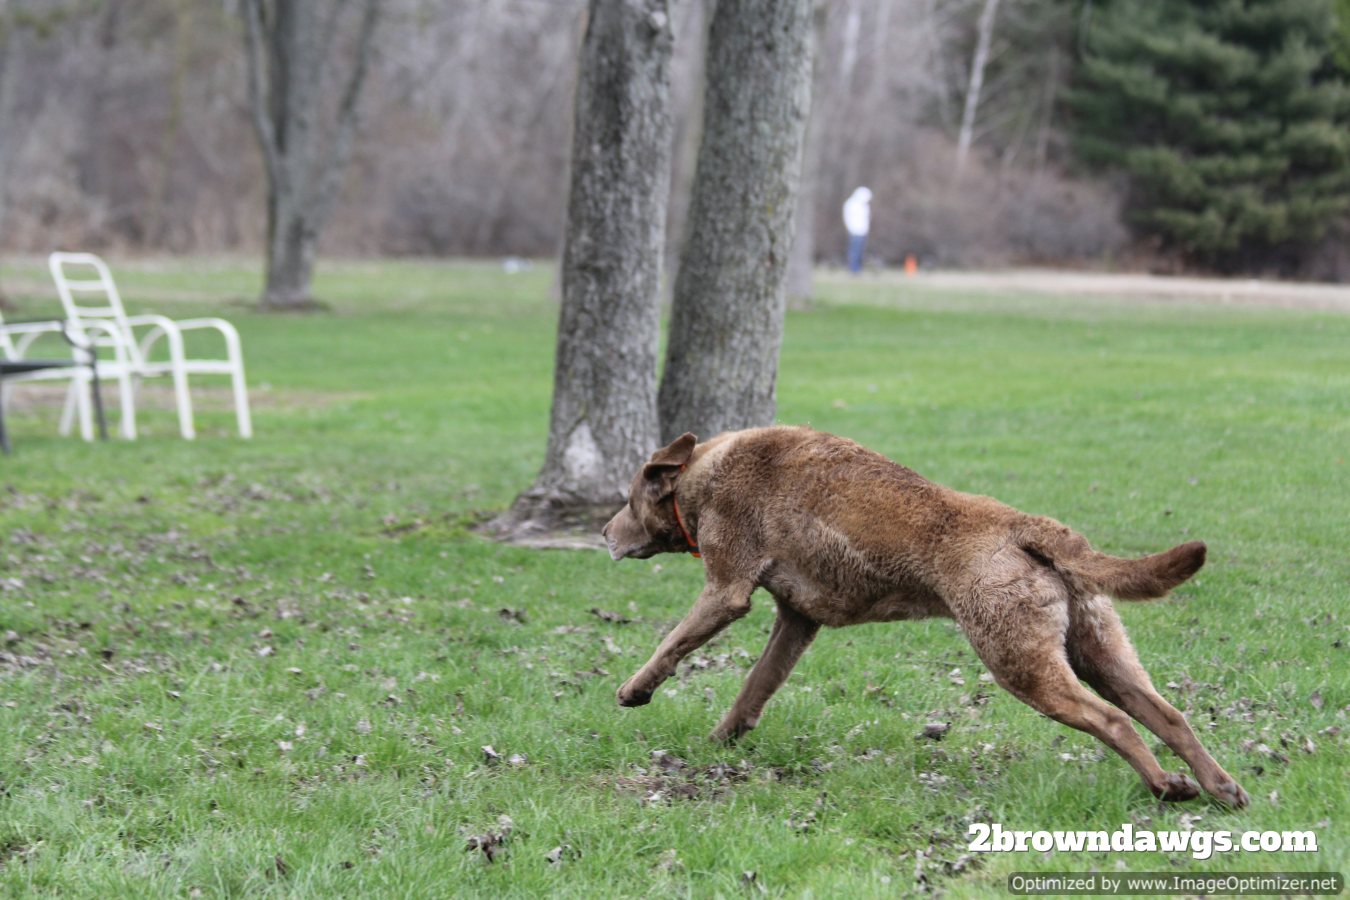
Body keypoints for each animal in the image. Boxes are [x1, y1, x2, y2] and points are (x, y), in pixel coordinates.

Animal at [602, 426, 1248, 807]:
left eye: (628, 499)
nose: (604, 532)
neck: (702, 472)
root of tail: (1029, 527)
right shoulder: (796, 621)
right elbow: (754, 687)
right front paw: (723, 739)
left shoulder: (726, 588)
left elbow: (671, 644)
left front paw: (634, 690)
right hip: (1099, 652)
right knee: (1168, 715)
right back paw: (1219, 787)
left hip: (1020, 661)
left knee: (1112, 722)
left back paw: (1165, 786)